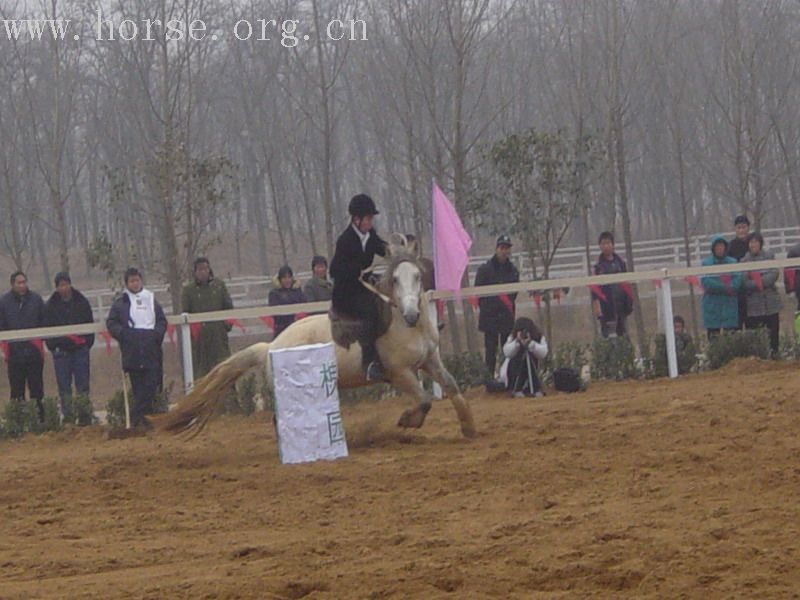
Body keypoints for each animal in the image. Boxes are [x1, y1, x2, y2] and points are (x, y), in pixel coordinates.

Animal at [154, 240, 478, 440]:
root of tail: (270, 346)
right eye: (395, 279)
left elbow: (452, 387)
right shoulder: (399, 373)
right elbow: (424, 400)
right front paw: (407, 420)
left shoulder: (430, 360)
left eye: (418, 277)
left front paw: (468, 427)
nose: (412, 313)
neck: (403, 324)